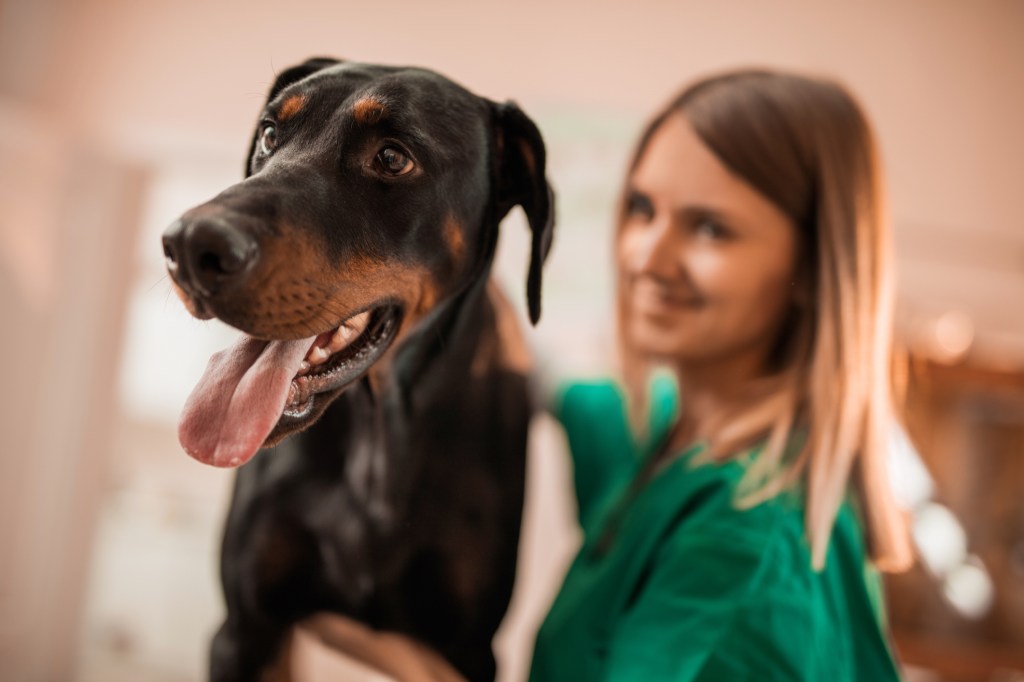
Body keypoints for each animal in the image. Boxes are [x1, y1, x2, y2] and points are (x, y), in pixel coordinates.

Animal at [160, 59, 557, 679]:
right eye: (270, 133)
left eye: (392, 158)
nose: (187, 246)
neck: (380, 436)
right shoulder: (244, 629)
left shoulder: (465, 652)